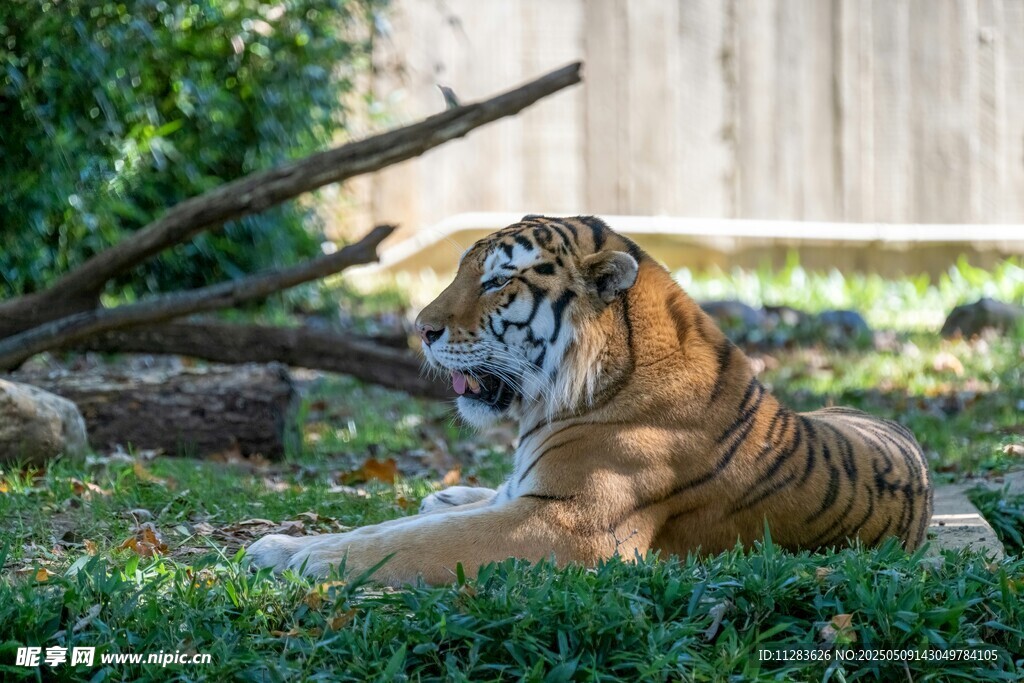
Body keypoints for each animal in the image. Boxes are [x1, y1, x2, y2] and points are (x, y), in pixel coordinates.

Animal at [247, 215, 934, 584]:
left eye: (496, 282)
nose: (421, 328)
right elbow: (390, 528)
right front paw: (285, 545)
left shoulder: (564, 525)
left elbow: (404, 543)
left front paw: (286, 554)